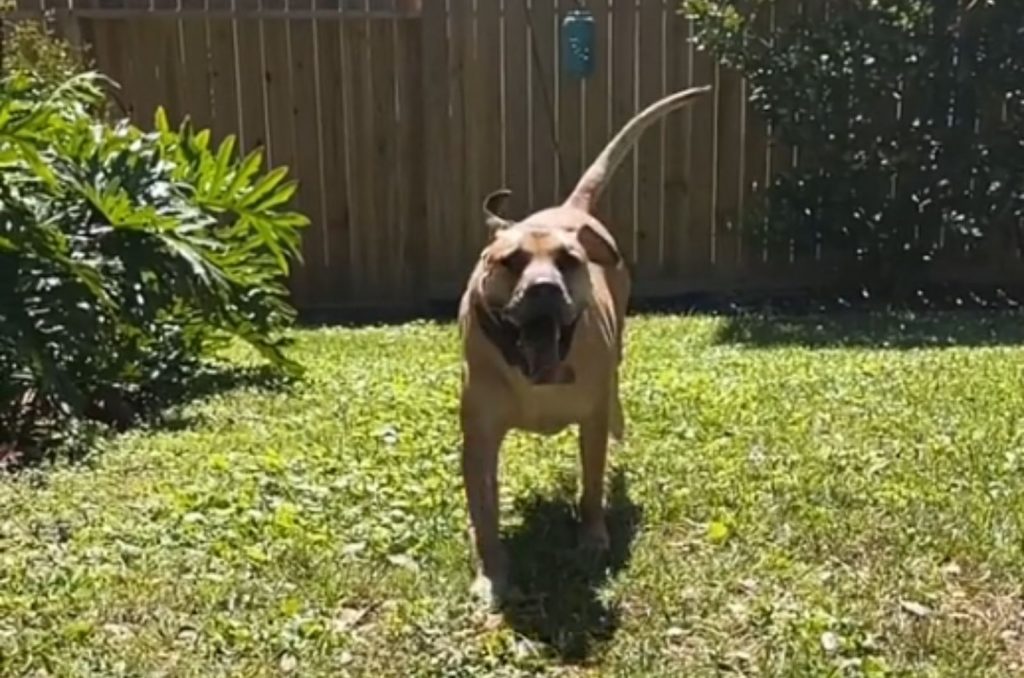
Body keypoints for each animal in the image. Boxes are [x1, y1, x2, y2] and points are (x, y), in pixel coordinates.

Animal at [458, 85, 712, 610]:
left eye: (567, 261)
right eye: (510, 261)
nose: (544, 289)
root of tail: (572, 210)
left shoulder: (589, 422)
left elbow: (592, 487)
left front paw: (593, 539)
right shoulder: (479, 439)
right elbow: (484, 513)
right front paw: (492, 575)